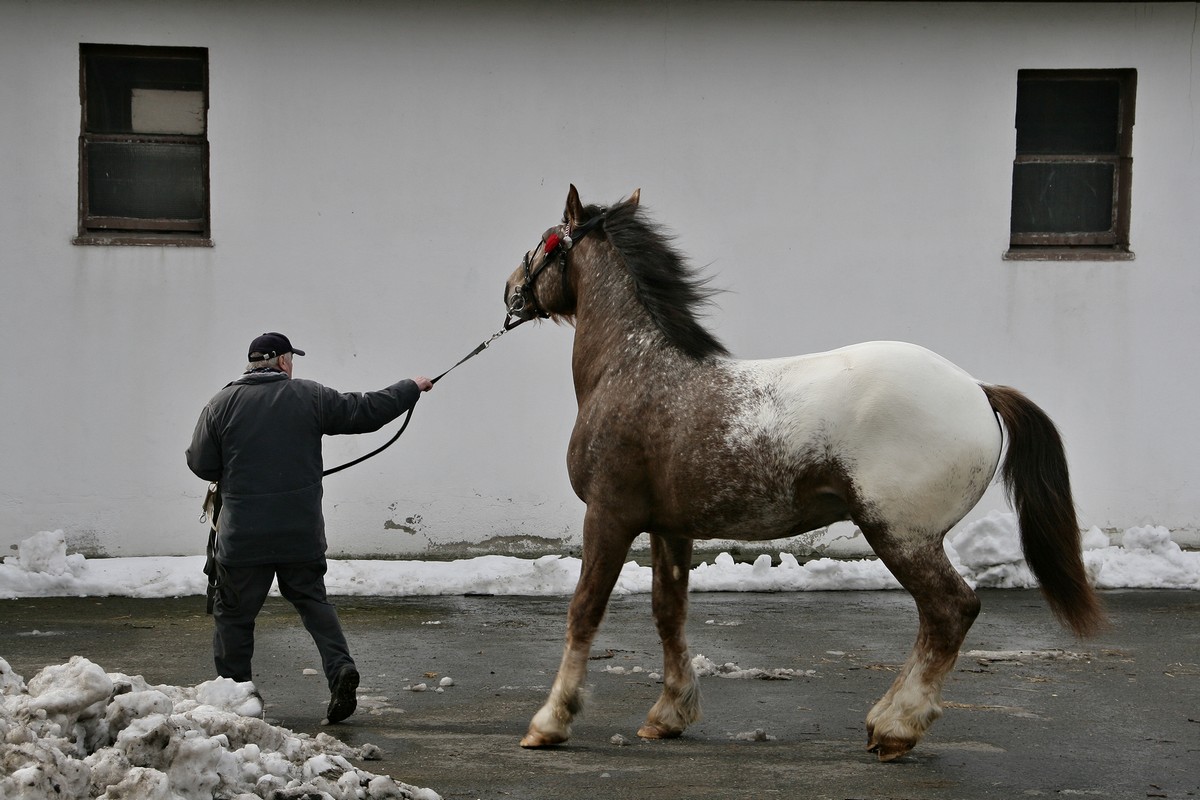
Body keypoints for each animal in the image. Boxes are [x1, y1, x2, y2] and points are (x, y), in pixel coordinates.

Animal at [501, 184, 1099, 762]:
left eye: (545, 242)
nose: (511, 291)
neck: (633, 368)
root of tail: (978, 389)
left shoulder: (609, 515)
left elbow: (584, 611)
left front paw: (549, 723)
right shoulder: (671, 528)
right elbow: (669, 612)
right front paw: (669, 715)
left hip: (902, 535)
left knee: (951, 612)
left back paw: (895, 728)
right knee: (938, 619)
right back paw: (884, 722)